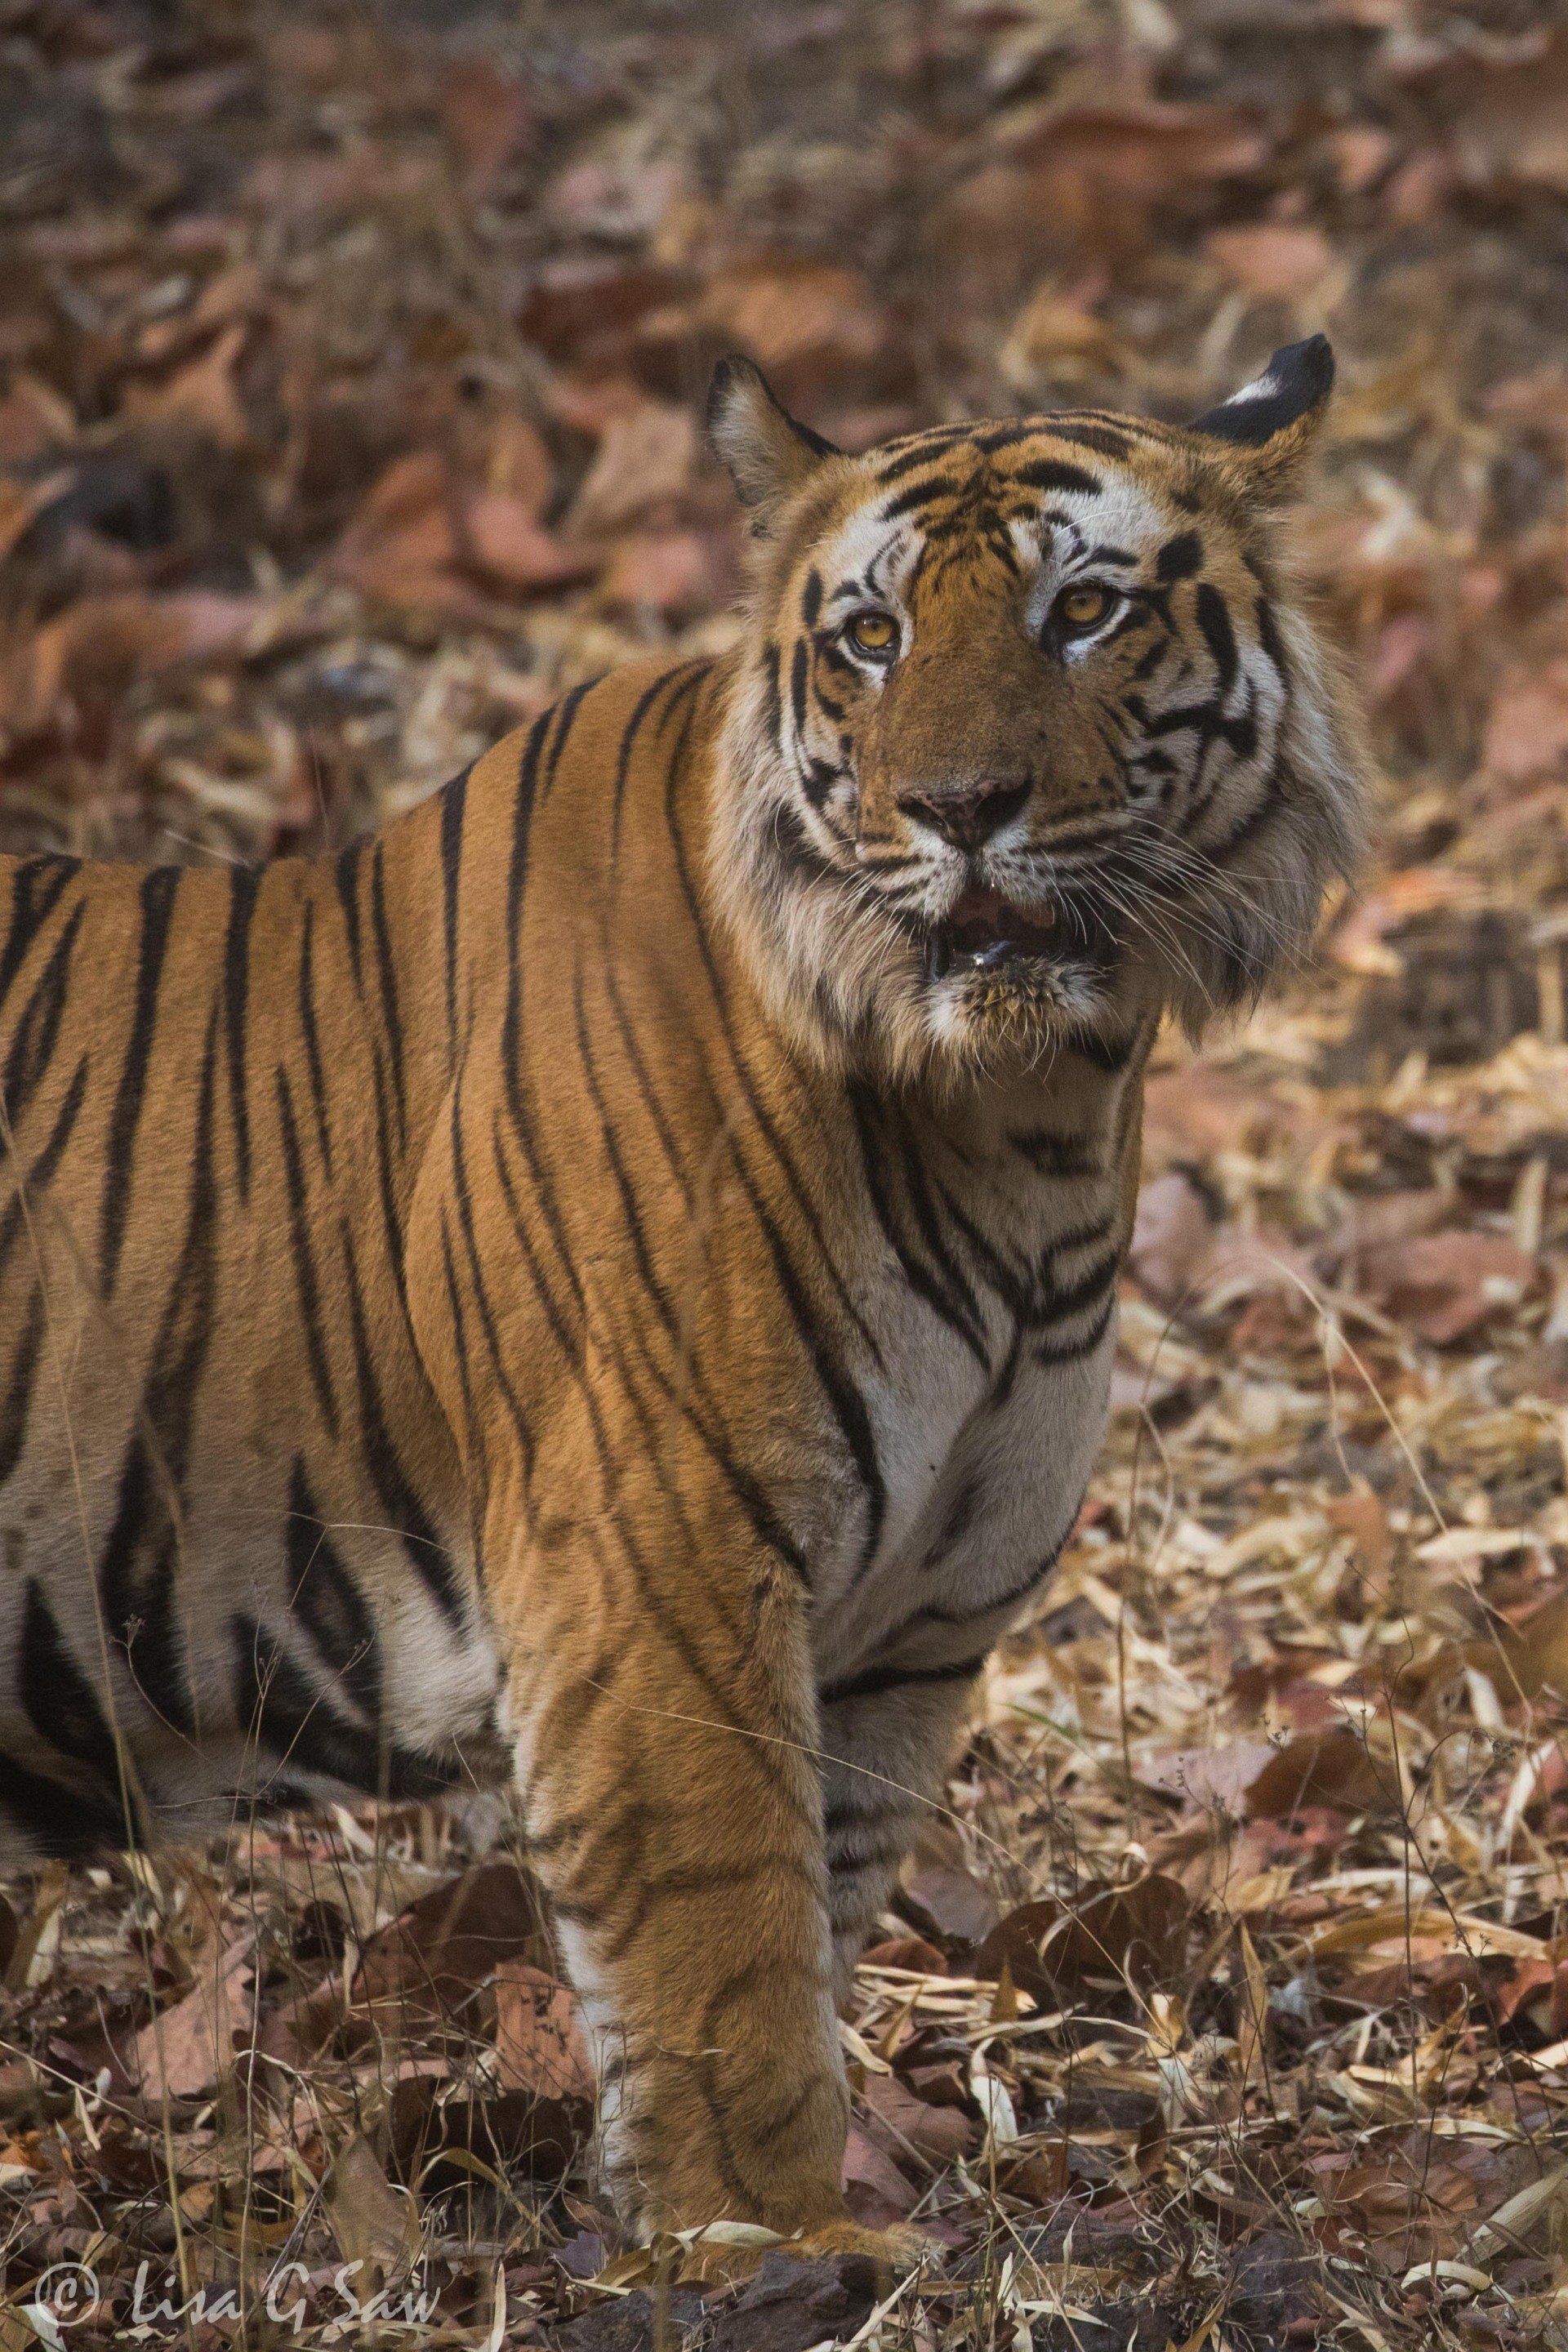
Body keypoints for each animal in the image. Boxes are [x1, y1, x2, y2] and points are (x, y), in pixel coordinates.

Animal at [0, 336, 1365, 2269]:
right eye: (873, 635)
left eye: (1085, 610)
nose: (959, 811)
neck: (1027, 1125)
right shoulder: (653, 1570)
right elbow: (725, 1949)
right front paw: (774, 2242)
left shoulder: (908, 1637)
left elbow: (817, 1921)